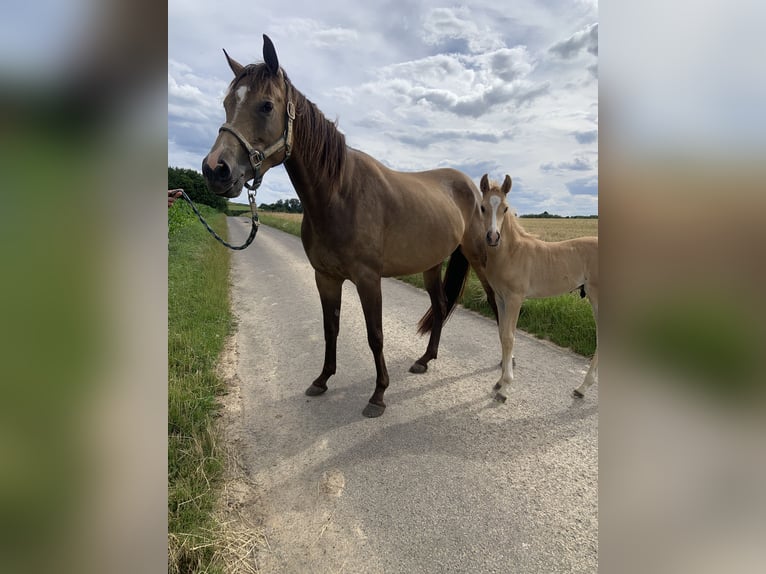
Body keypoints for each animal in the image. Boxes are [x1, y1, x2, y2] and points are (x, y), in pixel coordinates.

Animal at [202, 33, 498, 416]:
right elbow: (331, 328)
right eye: (226, 103)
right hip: (432, 264)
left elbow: (375, 335)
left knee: (496, 303)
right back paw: (425, 359)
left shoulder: (368, 279)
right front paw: (322, 379)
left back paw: (503, 367)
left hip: (479, 258)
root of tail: (471, 187)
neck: (339, 195)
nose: (215, 169)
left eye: (266, 105)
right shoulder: (326, 277)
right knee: (441, 306)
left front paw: (378, 394)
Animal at [480, 173, 600, 402]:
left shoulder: (515, 298)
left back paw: (582, 387)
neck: (511, 253)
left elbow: (509, 337)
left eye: (505, 208)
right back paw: (582, 388)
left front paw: (505, 388)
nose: (492, 237)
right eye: (482, 207)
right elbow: (501, 334)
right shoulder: (500, 298)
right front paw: (499, 382)